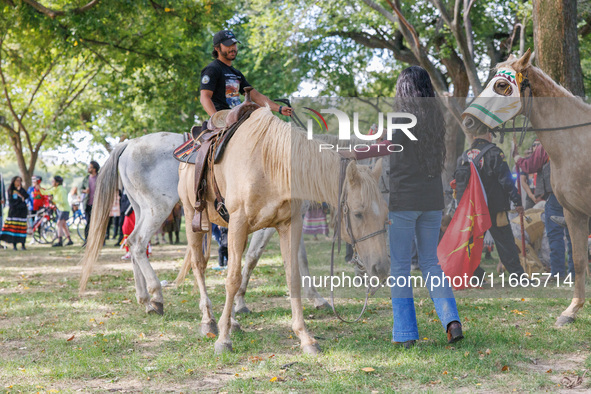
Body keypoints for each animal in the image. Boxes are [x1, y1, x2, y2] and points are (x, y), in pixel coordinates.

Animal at [178, 107, 390, 354]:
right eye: (357, 213)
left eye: (386, 215)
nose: (381, 269)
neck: (269, 163)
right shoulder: (240, 223)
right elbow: (233, 278)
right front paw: (223, 339)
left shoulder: (289, 224)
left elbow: (293, 276)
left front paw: (305, 336)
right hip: (192, 218)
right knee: (198, 265)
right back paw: (208, 320)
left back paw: (231, 321)